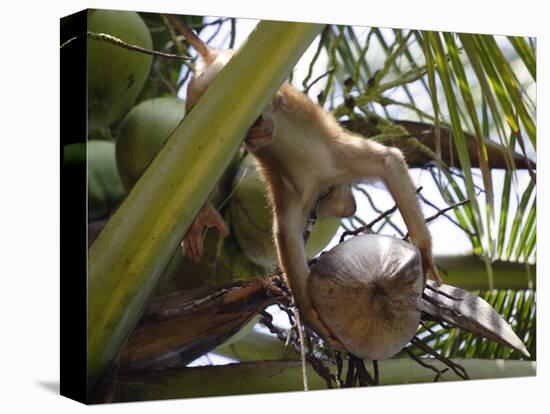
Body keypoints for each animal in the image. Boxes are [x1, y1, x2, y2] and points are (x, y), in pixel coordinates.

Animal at [172, 18, 444, 350]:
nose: (342, 206)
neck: (320, 181)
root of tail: (216, 56)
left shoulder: (306, 188)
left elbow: (288, 233)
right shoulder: (334, 162)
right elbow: (388, 161)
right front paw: (425, 253)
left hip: (199, 94)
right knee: (270, 97)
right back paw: (267, 125)